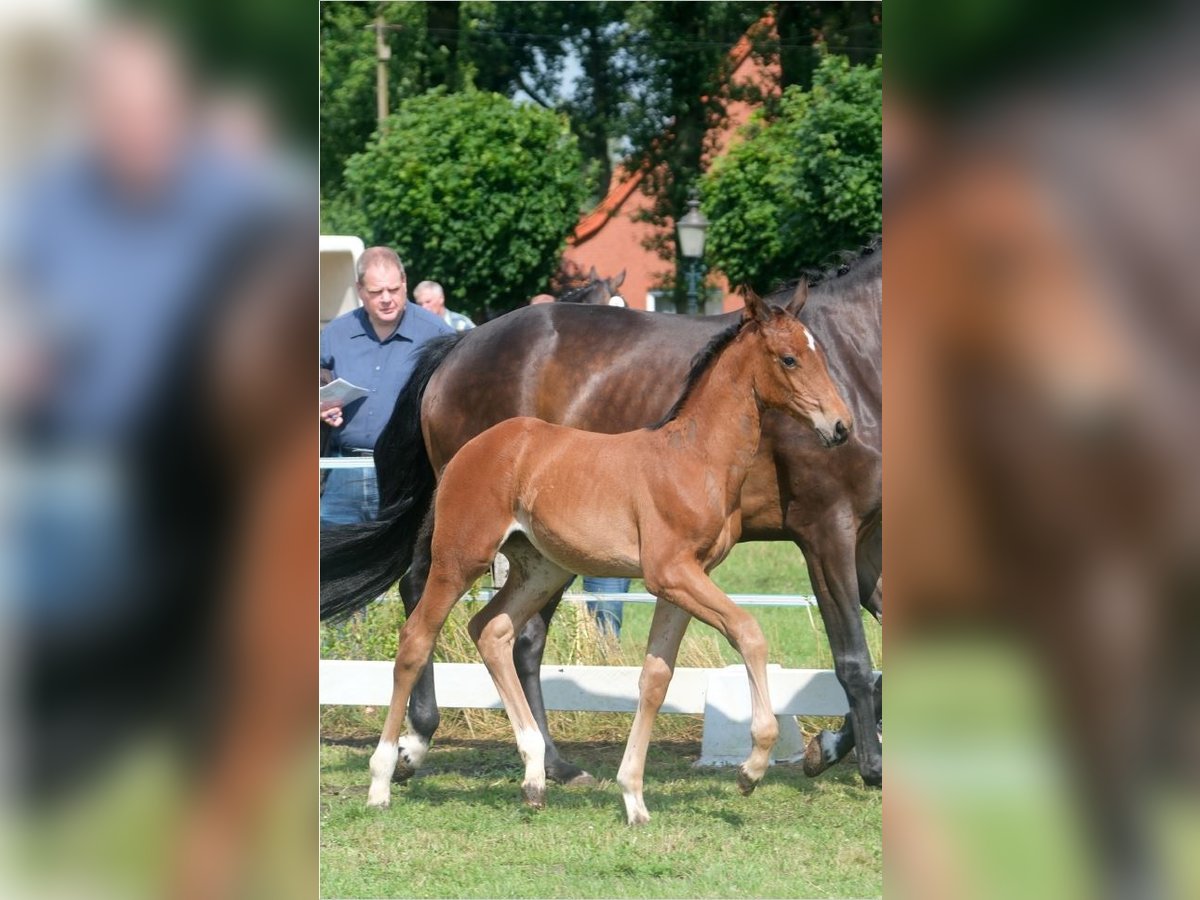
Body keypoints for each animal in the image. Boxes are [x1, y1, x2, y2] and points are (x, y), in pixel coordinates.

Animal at [324, 247, 888, 787]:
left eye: (821, 355)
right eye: (789, 359)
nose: (840, 426)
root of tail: (456, 346)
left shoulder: (861, 542)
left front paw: (829, 749)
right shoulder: (823, 532)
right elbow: (847, 657)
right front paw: (852, 763)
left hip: (542, 560)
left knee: (504, 633)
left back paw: (539, 762)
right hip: (472, 540)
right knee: (429, 608)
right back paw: (418, 748)